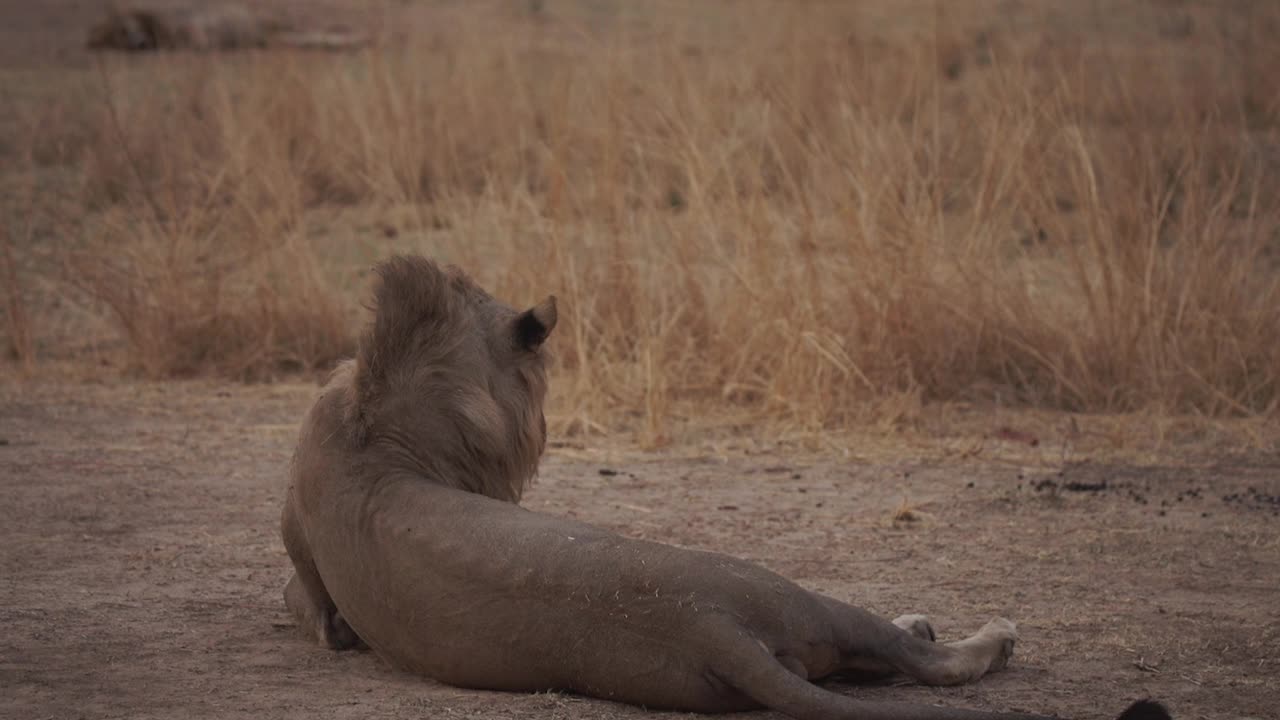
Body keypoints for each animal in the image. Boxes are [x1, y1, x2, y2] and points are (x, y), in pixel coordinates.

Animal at [282, 253, 1172, 717]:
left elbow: (310, 601)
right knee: (924, 662)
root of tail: (708, 624)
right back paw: (975, 631)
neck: (379, 423)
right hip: (794, 598)